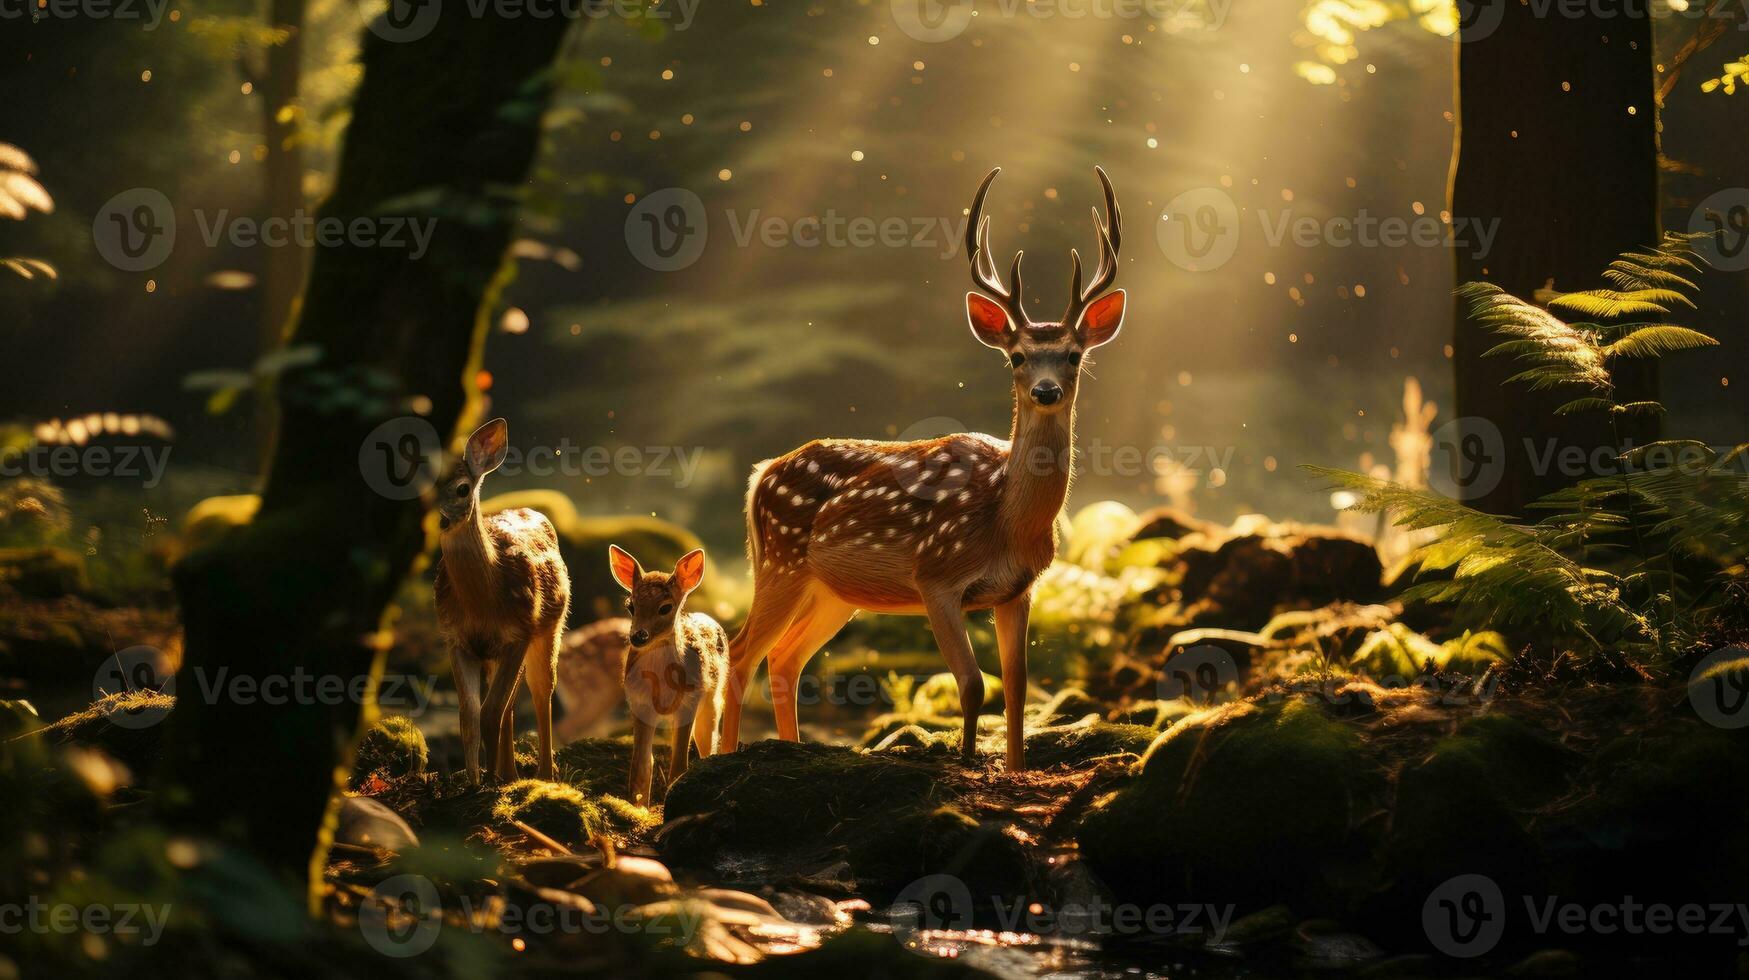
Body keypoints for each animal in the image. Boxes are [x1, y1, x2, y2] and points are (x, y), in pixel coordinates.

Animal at [717, 166, 1126, 766]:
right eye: (1018, 356)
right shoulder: (936, 576)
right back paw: (716, 758)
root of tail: (760, 474)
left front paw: (1015, 768)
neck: (1007, 521)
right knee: (742, 649)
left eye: (1074, 355)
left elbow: (1018, 686)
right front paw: (965, 761)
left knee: (785, 657)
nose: (1047, 390)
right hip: (780, 561)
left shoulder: (1020, 588)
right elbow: (973, 684)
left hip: (832, 591)